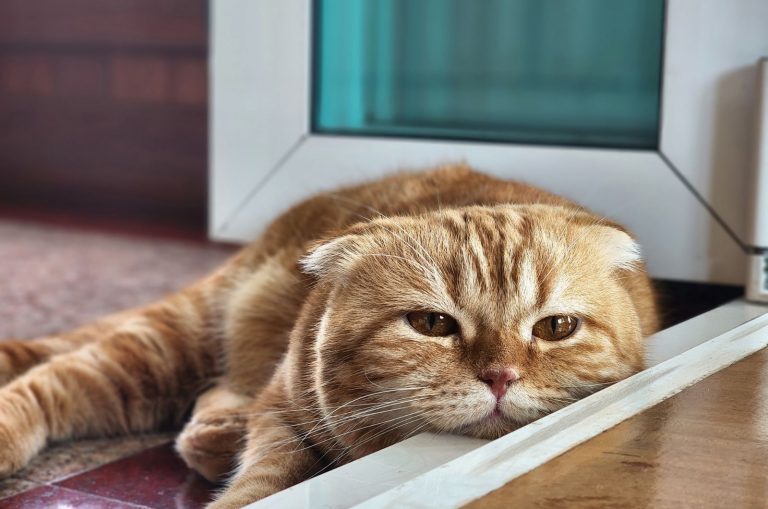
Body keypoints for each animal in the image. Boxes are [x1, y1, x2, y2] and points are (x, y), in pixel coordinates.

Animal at [0, 165, 660, 506]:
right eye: (432, 324)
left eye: (556, 328)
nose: (500, 377)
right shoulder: (281, 412)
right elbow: (266, 479)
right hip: (158, 352)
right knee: (48, 382)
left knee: (214, 394)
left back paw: (213, 436)